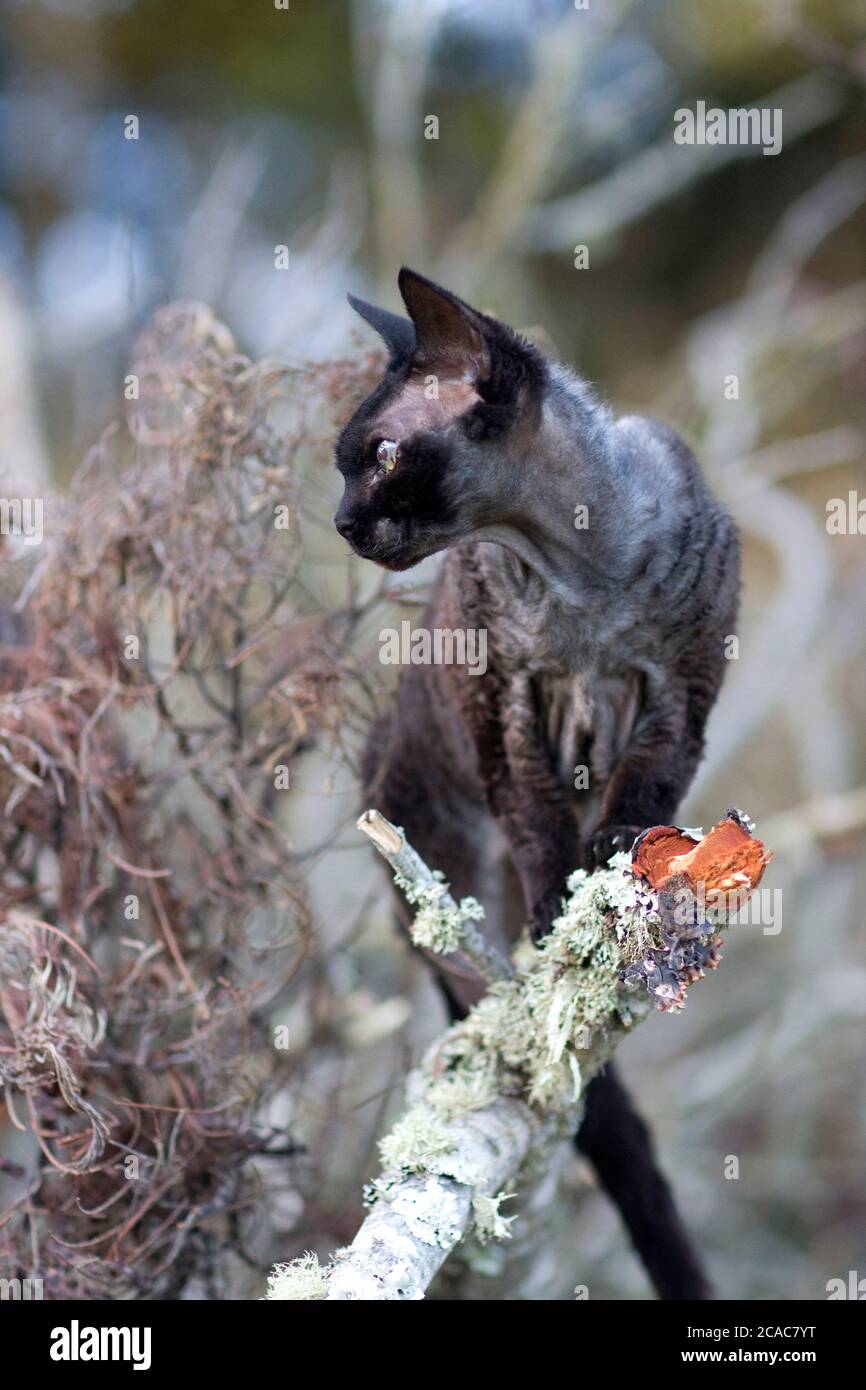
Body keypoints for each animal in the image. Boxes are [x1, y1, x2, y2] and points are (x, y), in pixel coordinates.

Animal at [332, 271, 739, 1301]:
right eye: (343, 464)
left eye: (380, 456)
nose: (342, 522)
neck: (587, 577)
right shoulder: (511, 716)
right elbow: (543, 834)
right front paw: (568, 916)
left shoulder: (678, 701)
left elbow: (644, 801)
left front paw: (620, 872)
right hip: (450, 873)